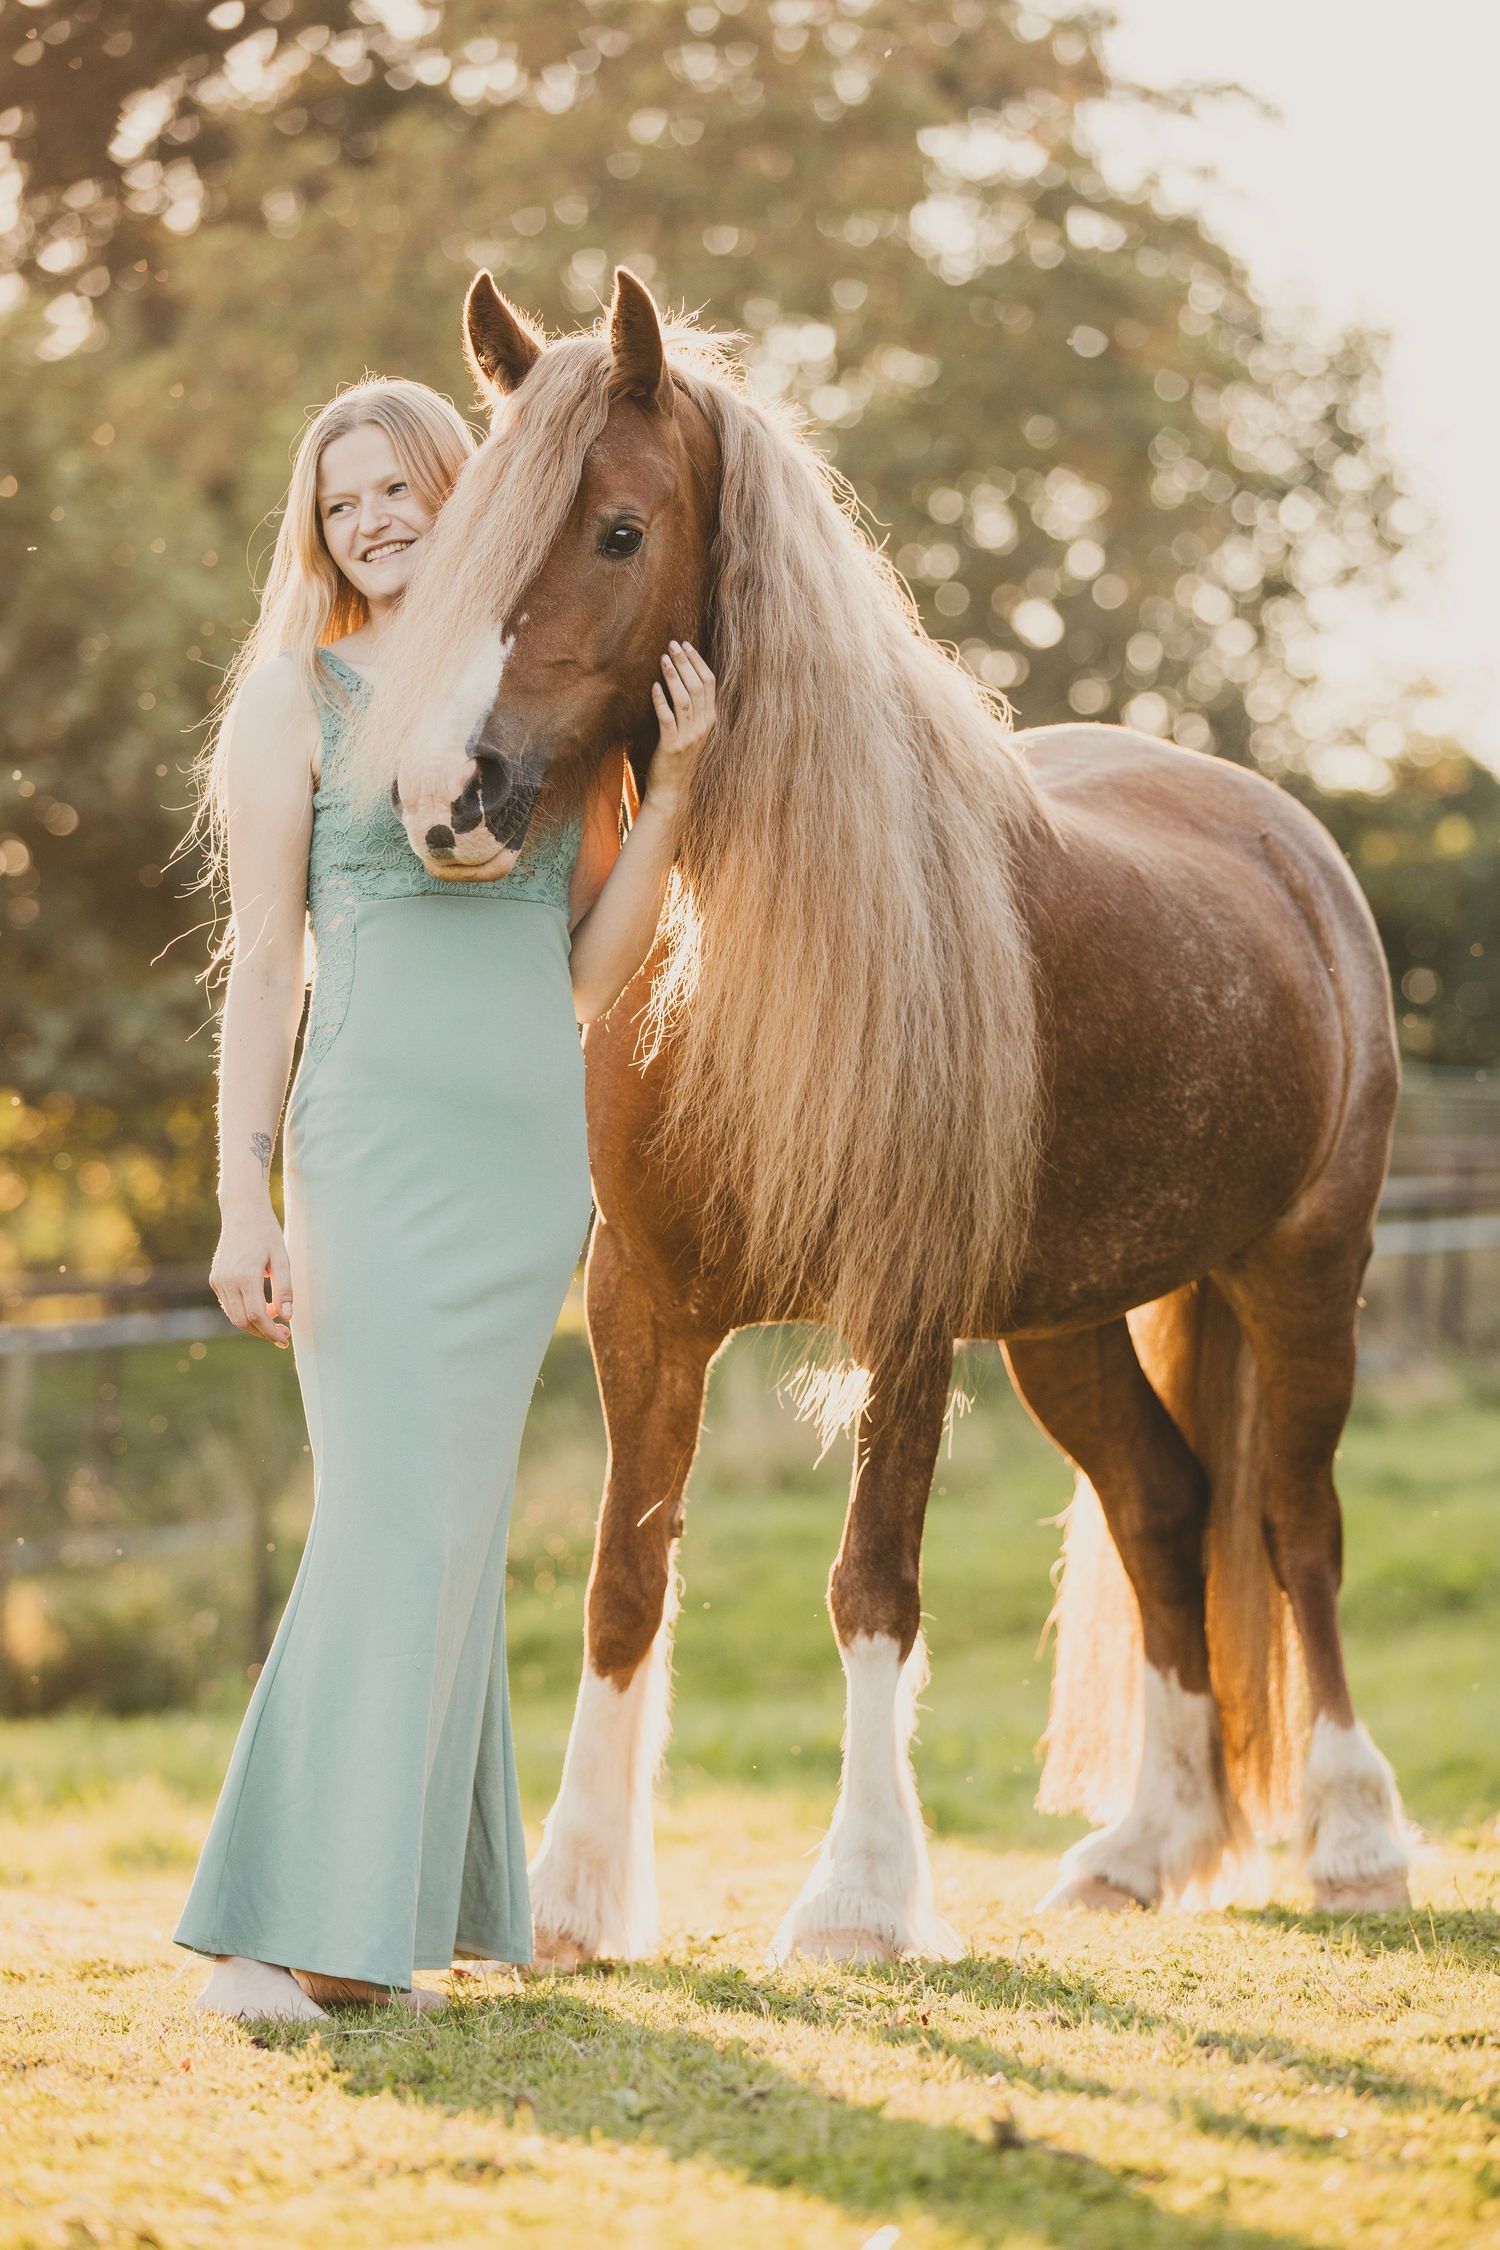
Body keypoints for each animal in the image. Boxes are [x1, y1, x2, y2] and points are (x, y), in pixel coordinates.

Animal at [349, 266, 1412, 1965]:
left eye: (620, 531)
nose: (448, 797)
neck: (747, 960)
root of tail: (1282, 833)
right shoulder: (643, 1302)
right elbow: (623, 1576)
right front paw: (577, 1895)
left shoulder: (903, 1311)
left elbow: (872, 1585)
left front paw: (857, 1896)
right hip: (1067, 1319)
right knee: (1167, 1506)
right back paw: (1148, 1843)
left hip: (1304, 1268)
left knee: (1294, 1524)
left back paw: (1359, 1837)